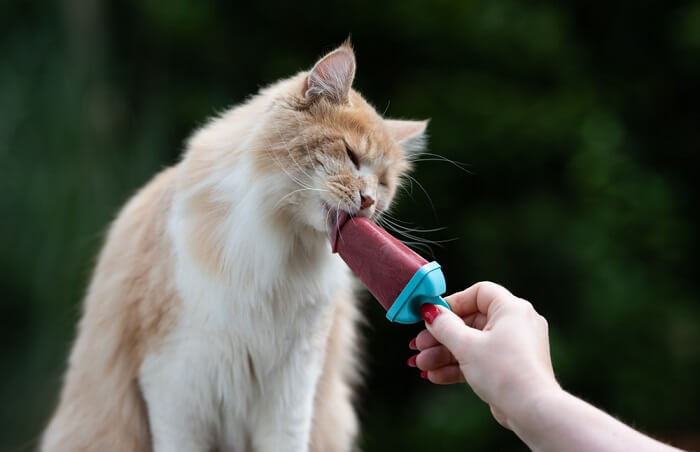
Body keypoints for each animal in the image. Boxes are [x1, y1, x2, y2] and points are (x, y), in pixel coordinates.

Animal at [43, 40, 430, 450]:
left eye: (384, 182)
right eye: (352, 156)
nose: (369, 200)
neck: (281, 247)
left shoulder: (293, 386)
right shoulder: (176, 383)